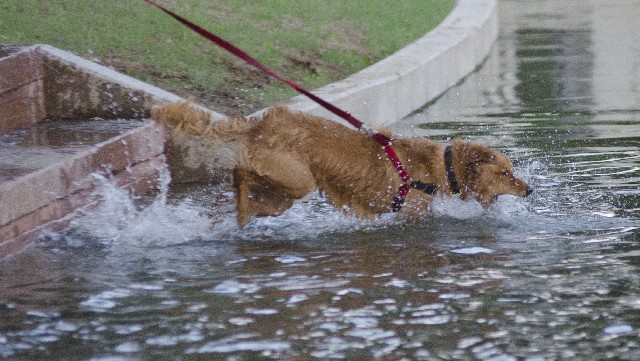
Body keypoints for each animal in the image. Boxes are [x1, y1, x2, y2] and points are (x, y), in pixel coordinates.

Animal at [152, 100, 532, 225]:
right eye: (505, 173)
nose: (530, 190)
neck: (442, 165)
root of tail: (260, 122)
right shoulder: (412, 215)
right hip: (296, 180)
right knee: (240, 173)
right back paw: (238, 210)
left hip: (280, 196)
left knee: (240, 189)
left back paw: (228, 213)